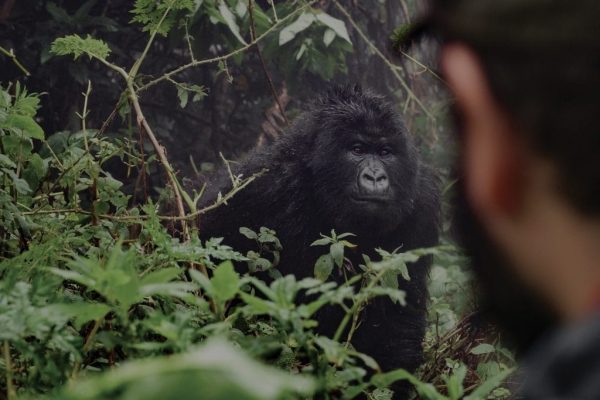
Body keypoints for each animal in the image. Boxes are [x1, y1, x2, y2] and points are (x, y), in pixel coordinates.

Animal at [199, 85, 438, 396]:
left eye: (385, 152)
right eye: (357, 150)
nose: (375, 177)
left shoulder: (422, 202)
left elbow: (399, 312)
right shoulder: (261, 187)